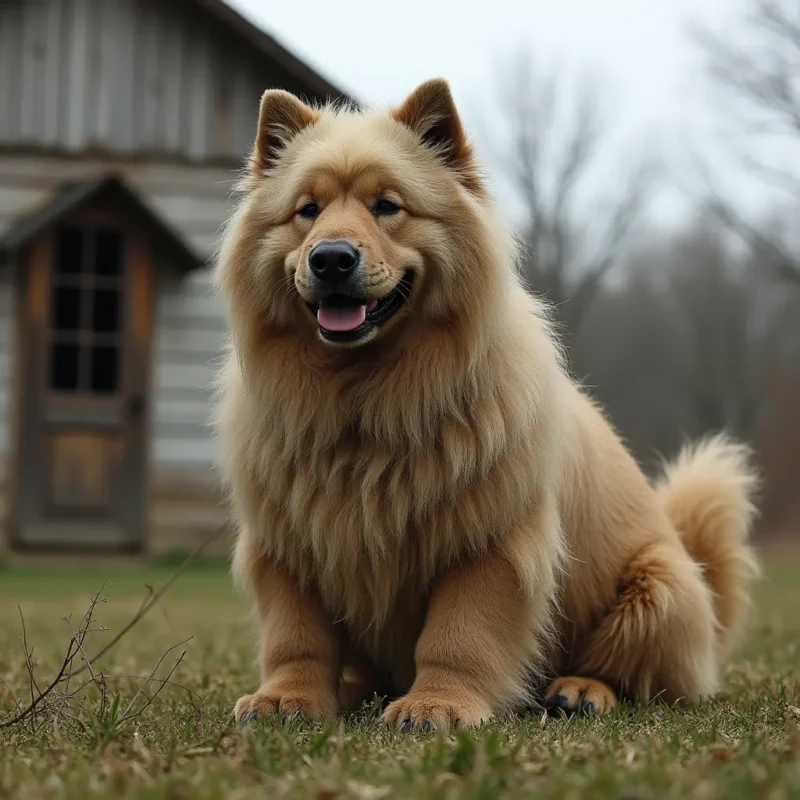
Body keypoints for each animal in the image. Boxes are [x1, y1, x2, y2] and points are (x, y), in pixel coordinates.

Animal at [214, 78, 764, 728]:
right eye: (308, 211)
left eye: (387, 206)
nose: (330, 258)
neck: (365, 397)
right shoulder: (287, 543)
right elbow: (297, 636)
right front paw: (288, 698)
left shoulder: (488, 541)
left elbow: (459, 636)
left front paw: (437, 706)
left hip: (656, 588)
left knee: (632, 672)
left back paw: (581, 690)